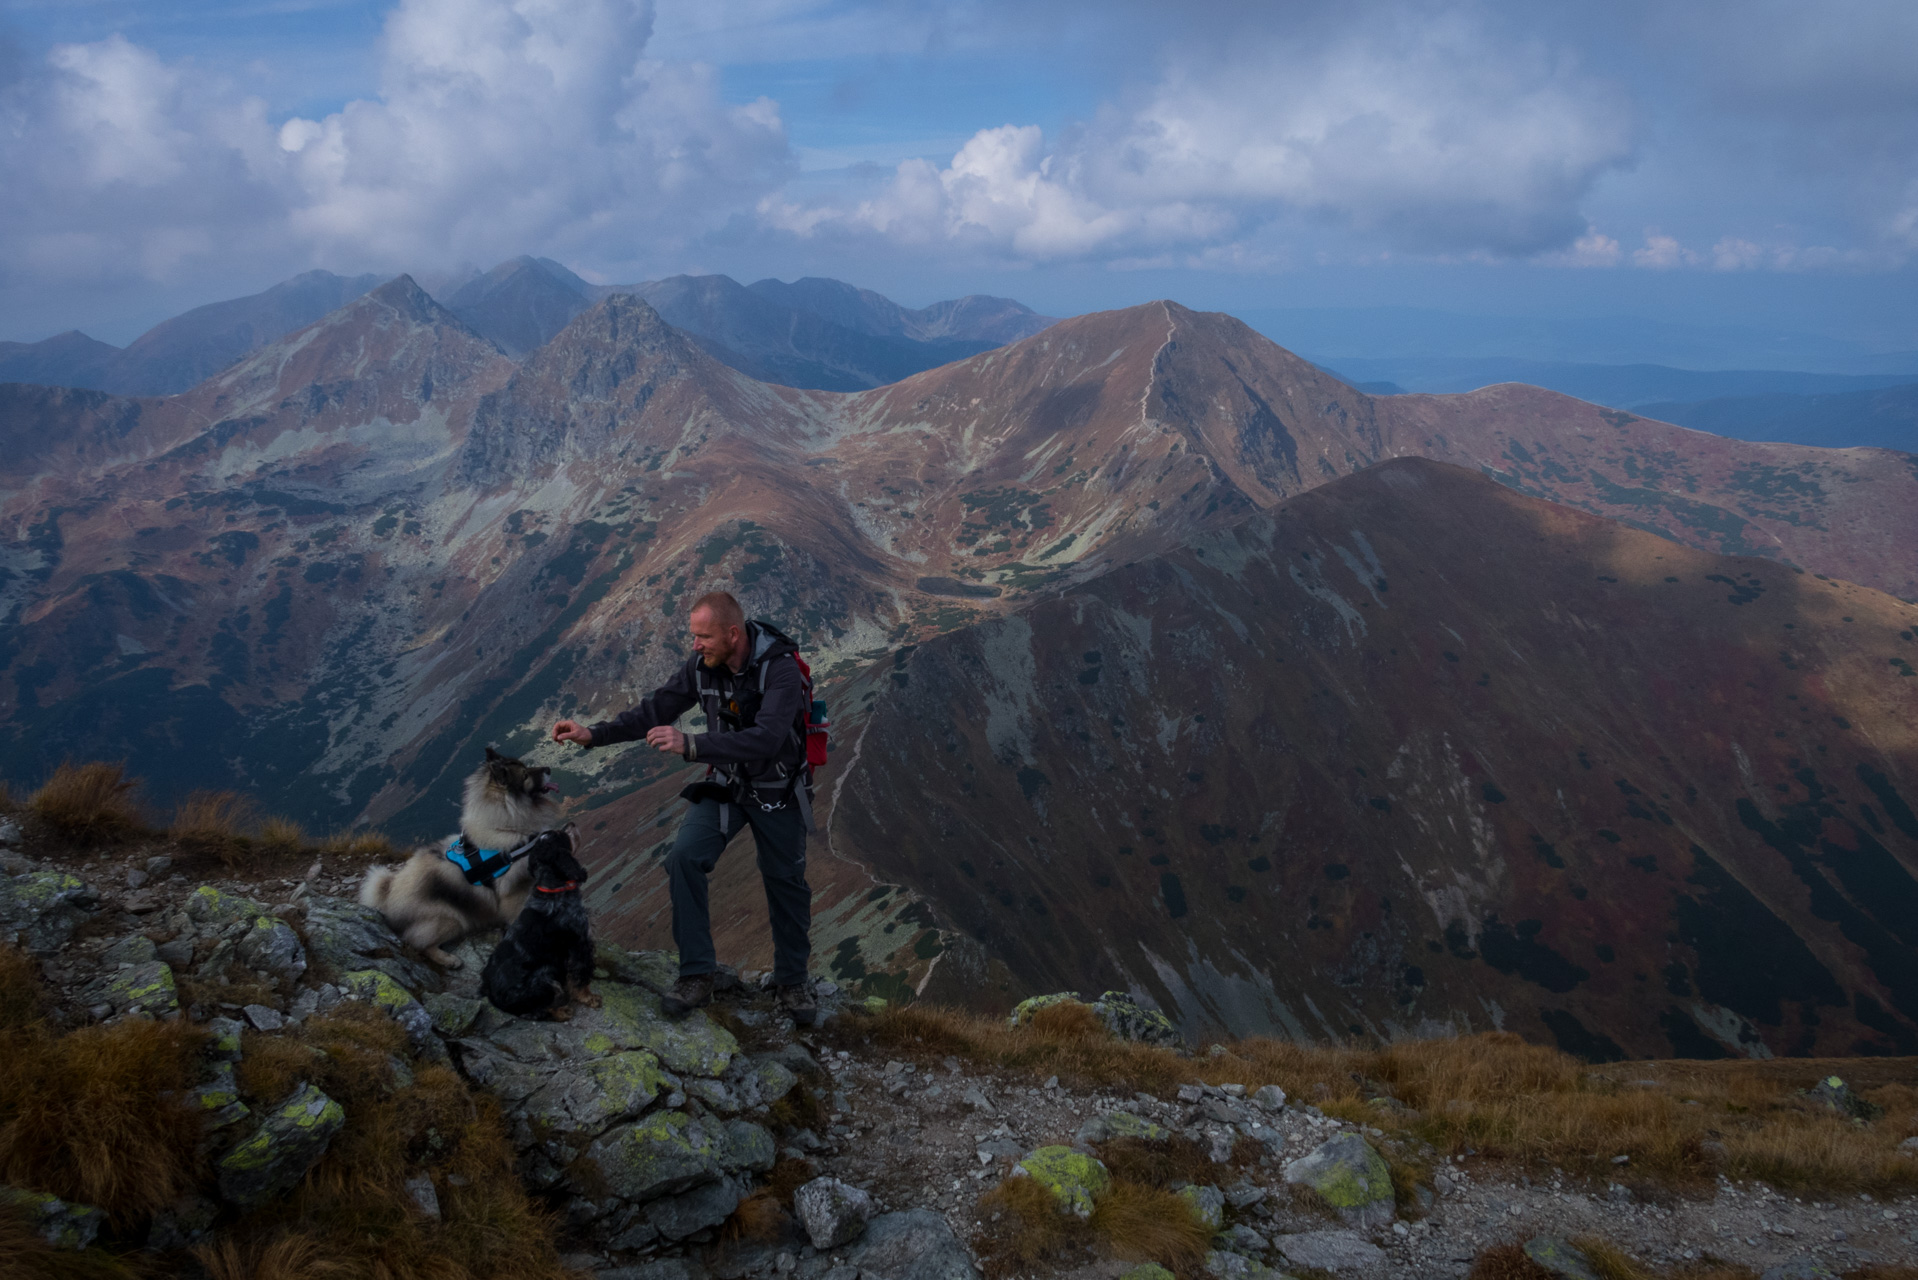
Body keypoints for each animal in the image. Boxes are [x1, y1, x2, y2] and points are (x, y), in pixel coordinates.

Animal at [360, 744, 563, 967]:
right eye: (525, 775)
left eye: (526, 766)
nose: (548, 769)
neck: (506, 826)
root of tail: (388, 894)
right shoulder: (514, 891)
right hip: (452, 919)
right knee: (418, 944)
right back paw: (448, 960)